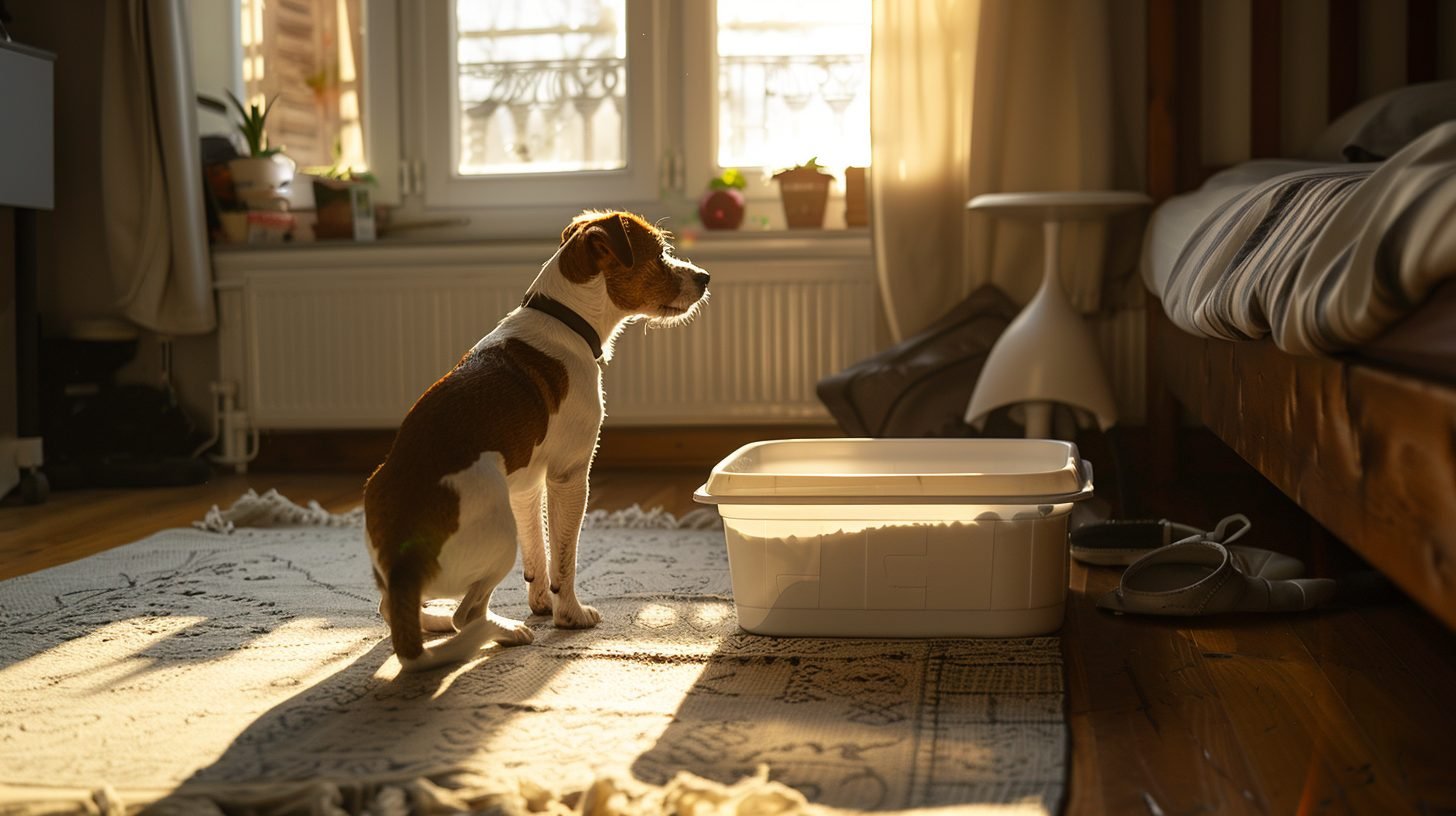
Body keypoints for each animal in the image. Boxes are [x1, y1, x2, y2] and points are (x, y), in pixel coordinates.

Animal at [361, 214, 707, 673]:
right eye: (660, 254)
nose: (705, 277)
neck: (565, 320)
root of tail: (405, 562)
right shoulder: (569, 478)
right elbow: (564, 559)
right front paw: (570, 616)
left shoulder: (526, 486)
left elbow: (539, 554)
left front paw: (541, 602)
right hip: (498, 537)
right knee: (466, 615)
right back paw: (503, 631)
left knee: (392, 609)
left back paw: (431, 620)